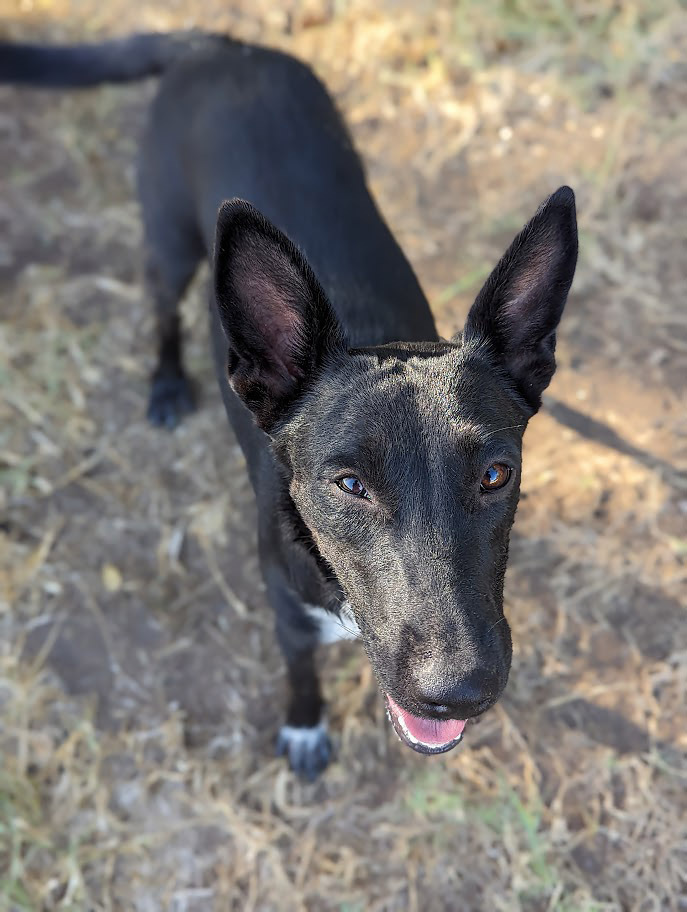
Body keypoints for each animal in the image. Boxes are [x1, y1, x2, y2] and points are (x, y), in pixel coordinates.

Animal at [1, 32, 580, 780]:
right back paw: (166, 383)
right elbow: (300, 675)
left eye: (494, 475)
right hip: (167, 243)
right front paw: (305, 726)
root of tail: (222, 43)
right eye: (349, 485)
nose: (458, 692)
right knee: (162, 310)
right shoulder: (285, 615)